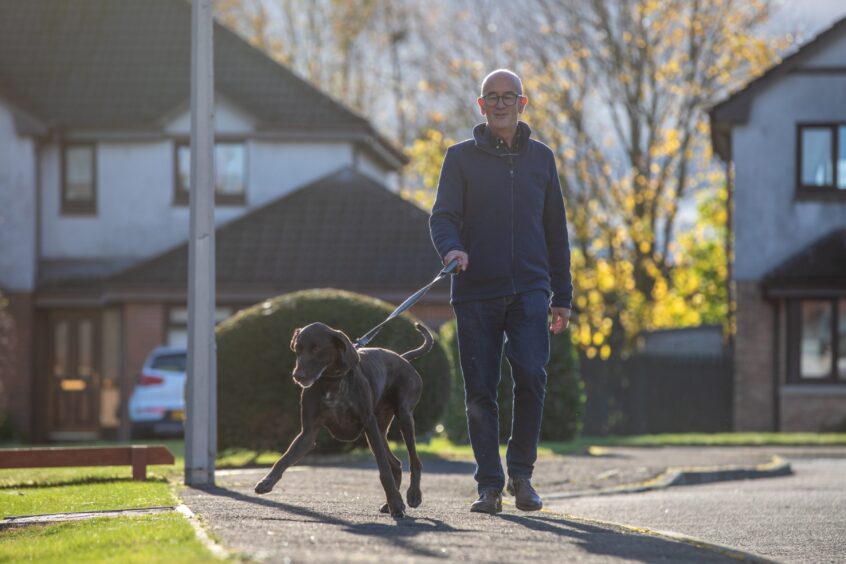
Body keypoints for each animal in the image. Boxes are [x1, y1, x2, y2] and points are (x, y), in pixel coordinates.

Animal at [255, 320, 434, 516]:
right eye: (297, 349)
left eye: (316, 349)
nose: (297, 376)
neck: (330, 380)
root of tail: (403, 358)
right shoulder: (308, 433)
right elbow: (284, 458)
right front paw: (267, 481)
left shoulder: (368, 424)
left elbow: (383, 470)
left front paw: (396, 503)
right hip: (379, 431)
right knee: (395, 463)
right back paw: (390, 503)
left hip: (402, 418)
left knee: (413, 461)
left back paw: (413, 495)